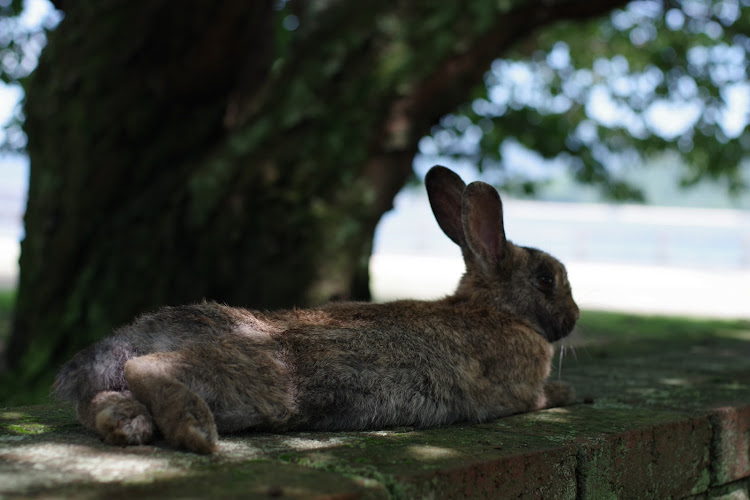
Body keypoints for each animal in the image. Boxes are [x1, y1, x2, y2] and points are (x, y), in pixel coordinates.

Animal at [54, 166, 580, 456]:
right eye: (546, 279)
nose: (574, 318)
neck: (498, 310)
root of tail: (143, 334)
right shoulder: (517, 387)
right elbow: (540, 395)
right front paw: (568, 392)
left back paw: (129, 426)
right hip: (260, 377)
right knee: (150, 368)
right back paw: (194, 428)